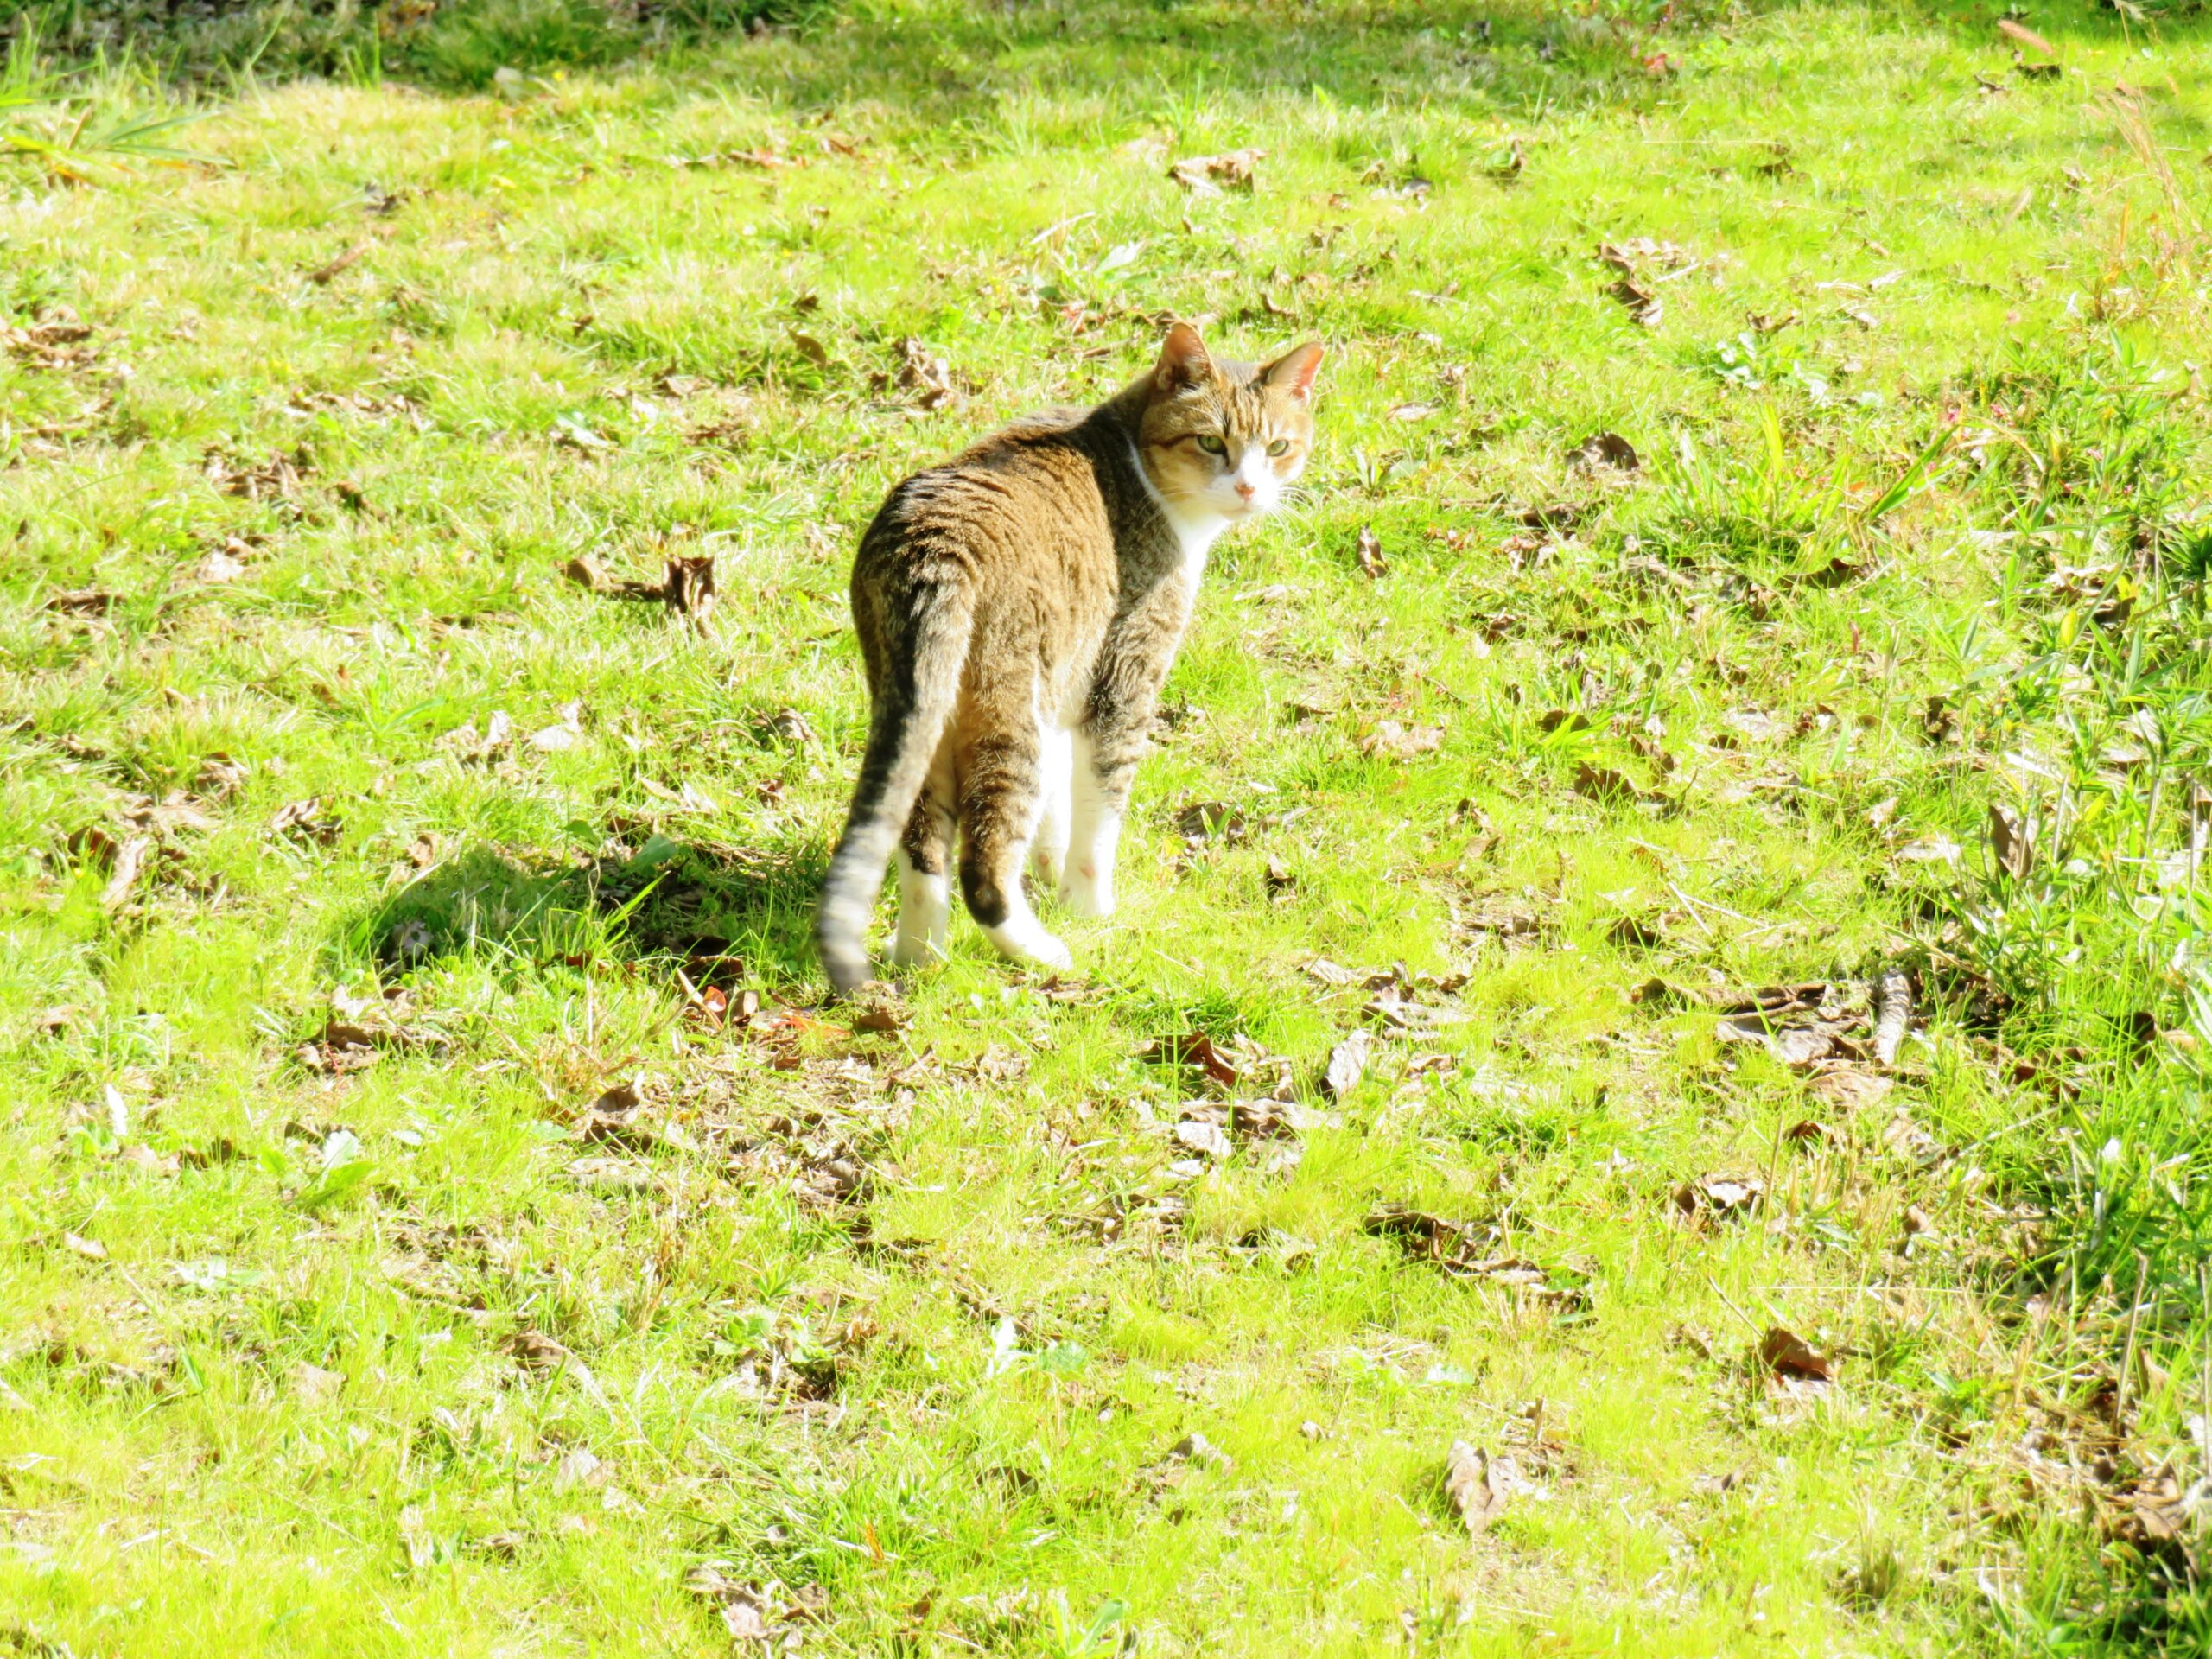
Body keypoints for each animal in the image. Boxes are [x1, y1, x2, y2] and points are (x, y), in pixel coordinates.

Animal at [818, 327, 1318, 1000]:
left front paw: (1053, 877)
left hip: (922, 704)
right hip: (1010, 712)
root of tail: (937, 545)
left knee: (923, 847)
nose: (1248, 489)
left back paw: (920, 958)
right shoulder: (1124, 678)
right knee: (984, 866)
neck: (1132, 454)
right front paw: (1090, 907)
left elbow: (1057, 808)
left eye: (1279, 447)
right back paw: (1042, 951)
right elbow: (1098, 812)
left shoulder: (1067, 681)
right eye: (1211, 441)